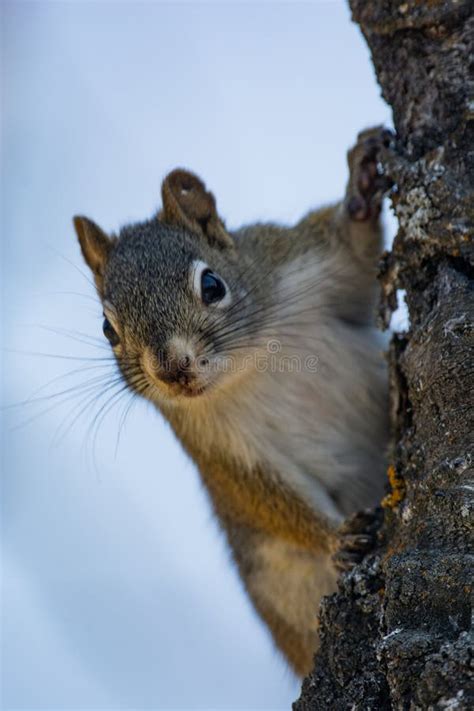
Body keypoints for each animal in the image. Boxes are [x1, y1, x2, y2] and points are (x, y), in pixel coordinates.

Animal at [73, 127, 391, 677]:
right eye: (108, 330)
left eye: (212, 284)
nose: (172, 370)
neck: (249, 367)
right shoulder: (220, 446)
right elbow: (265, 495)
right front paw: (336, 538)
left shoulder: (302, 263)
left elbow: (354, 254)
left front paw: (362, 184)